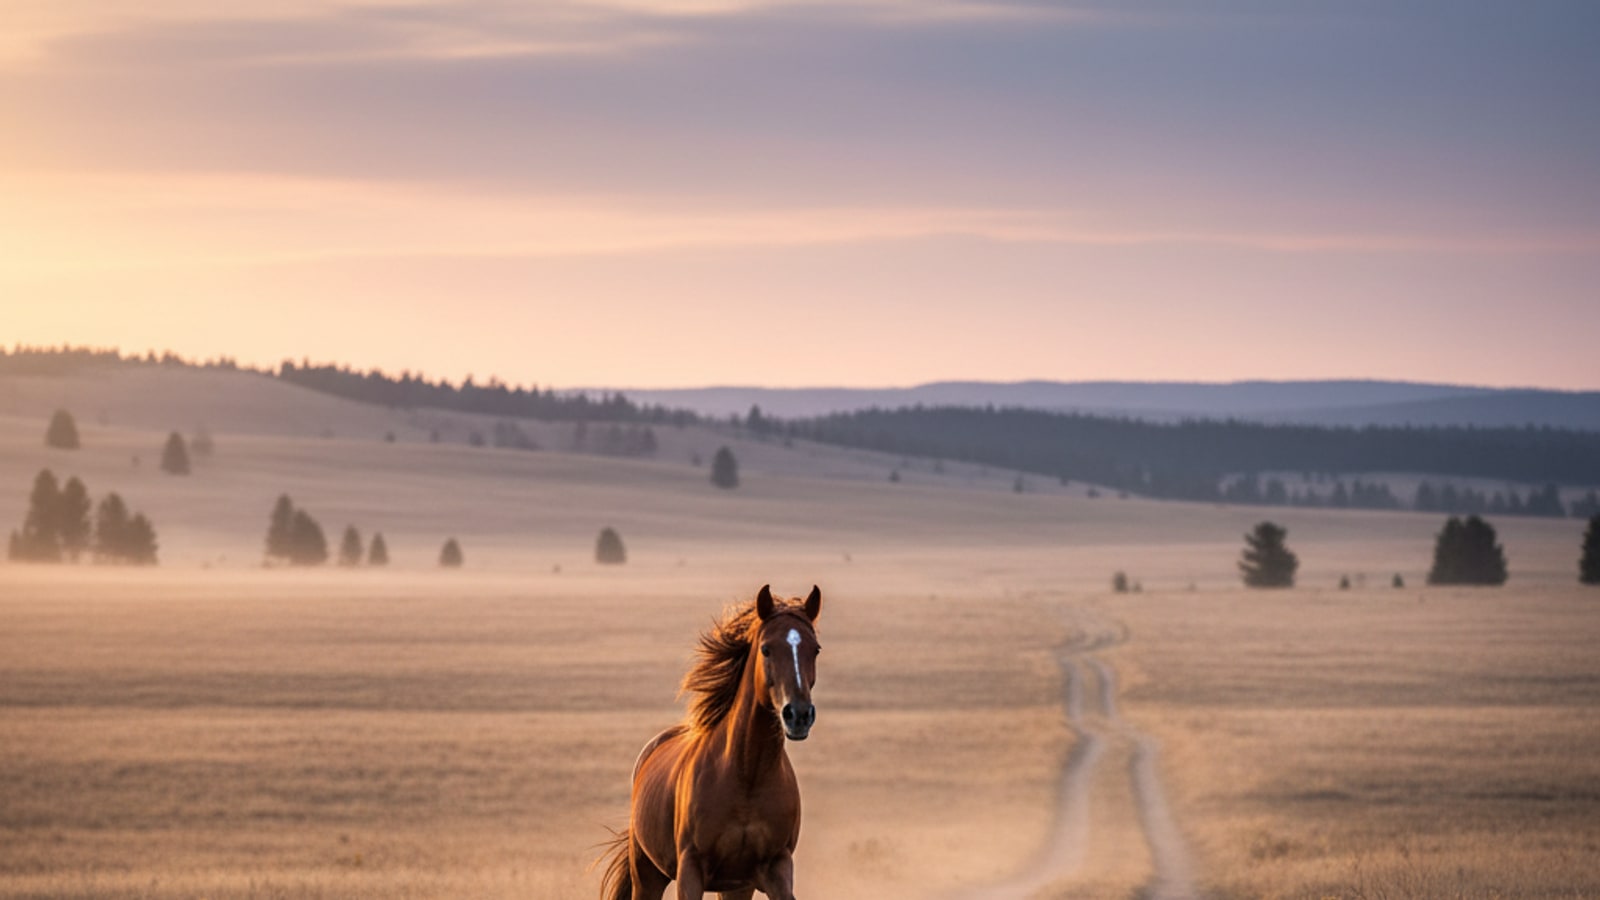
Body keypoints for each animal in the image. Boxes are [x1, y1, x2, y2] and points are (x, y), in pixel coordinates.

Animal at [598, 584, 823, 899]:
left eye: (815, 649)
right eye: (766, 649)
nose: (799, 714)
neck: (747, 775)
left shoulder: (775, 867)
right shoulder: (690, 869)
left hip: (736, 888)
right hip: (647, 874)